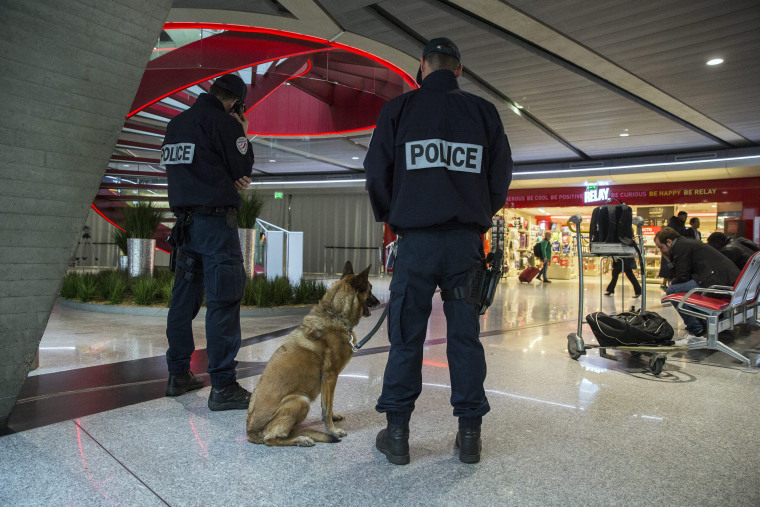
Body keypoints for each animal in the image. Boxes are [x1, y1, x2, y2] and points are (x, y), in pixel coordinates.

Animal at [246, 264, 380, 446]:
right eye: (370, 289)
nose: (379, 302)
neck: (335, 314)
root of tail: (250, 432)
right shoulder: (330, 377)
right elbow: (327, 407)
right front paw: (332, 430)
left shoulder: (328, 381)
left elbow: (327, 405)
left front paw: (333, 418)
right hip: (300, 400)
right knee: (271, 439)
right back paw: (301, 439)